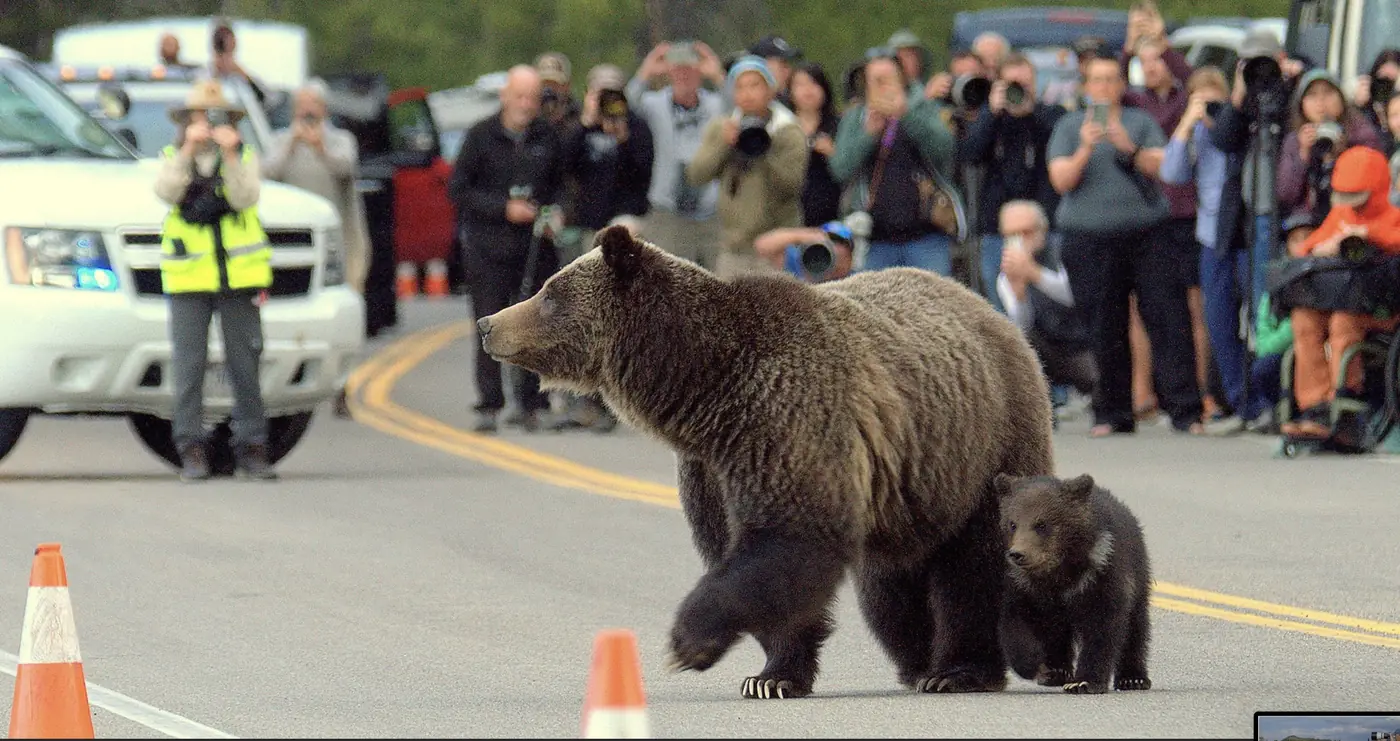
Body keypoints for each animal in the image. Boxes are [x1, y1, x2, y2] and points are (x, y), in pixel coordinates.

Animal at [476, 224, 1056, 699]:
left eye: (550, 293)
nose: (487, 323)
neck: (705, 391)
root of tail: (990, 311)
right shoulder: (712, 465)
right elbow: (744, 553)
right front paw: (772, 675)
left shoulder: (789, 419)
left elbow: (788, 537)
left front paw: (689, 641)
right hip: (915, 483)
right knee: (889, 586)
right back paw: (917, 661)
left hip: (989, 443)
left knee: (974, 566)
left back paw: (959, 670)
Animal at [992, 472, 1153, 695]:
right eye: (1012, 523)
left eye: (1042, 524)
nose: (1018, 554)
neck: (1058, 574)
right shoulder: (1024, 587)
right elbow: (1014, 624)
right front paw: (1037, 665)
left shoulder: (1100, 575)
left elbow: (1102, 629)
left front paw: (1084, 681)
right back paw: (1057, 671)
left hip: (1138, 575)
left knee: (1136, 625)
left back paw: (1133, 678)